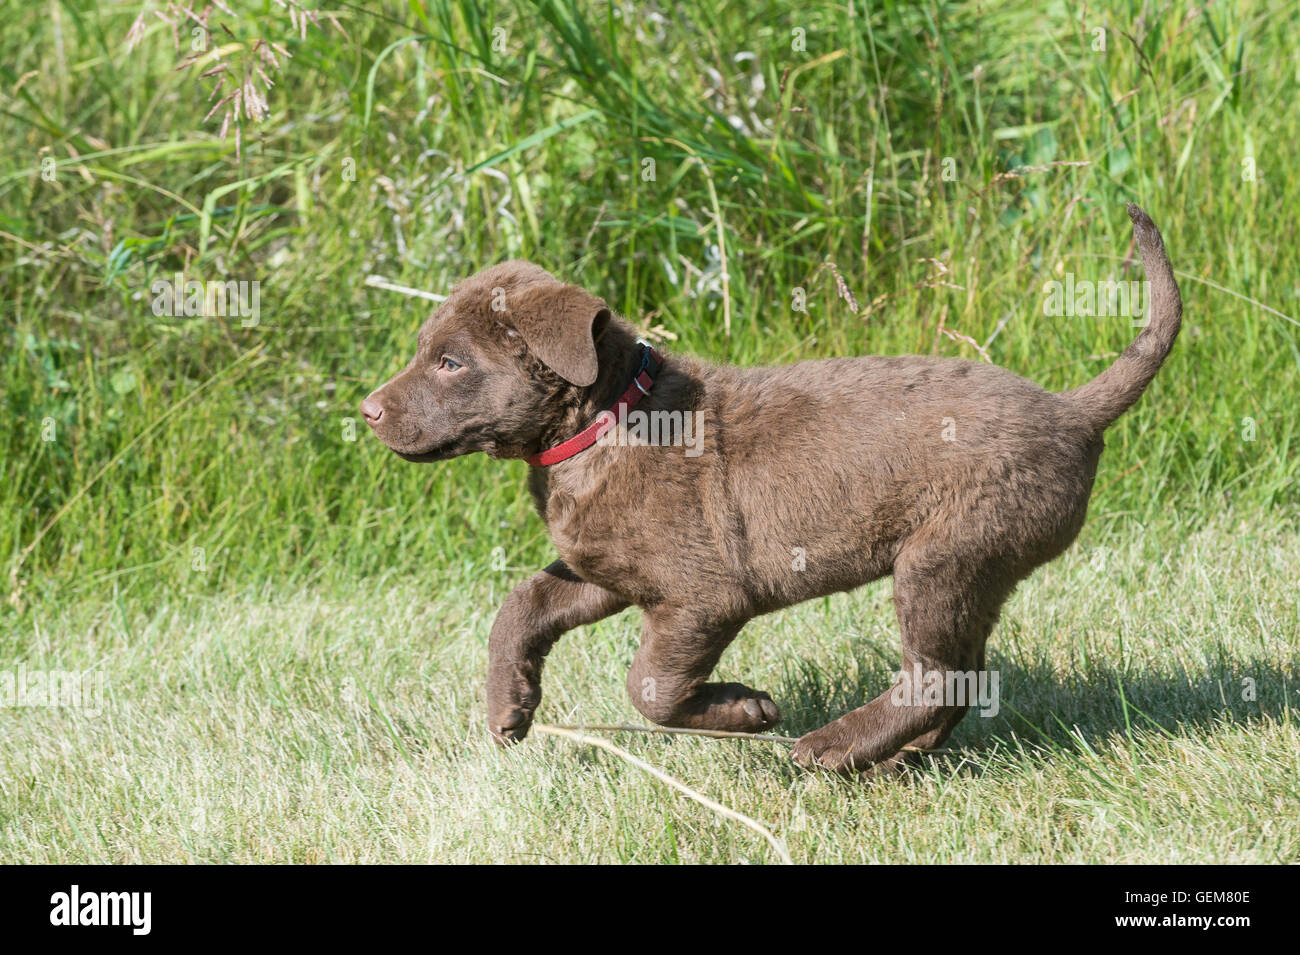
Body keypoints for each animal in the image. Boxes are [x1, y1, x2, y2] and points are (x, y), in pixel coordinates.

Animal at [361, 203, 1185, 779]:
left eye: (450, 362)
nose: (365, 410)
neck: (605, 421)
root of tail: (1074, 410)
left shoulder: (702, 597)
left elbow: (650, 688)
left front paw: (747, 710)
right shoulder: (608, 572)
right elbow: (523, 603)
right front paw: (508, 706)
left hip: (946, 555)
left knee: (939, 676)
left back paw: (832, 746)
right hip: (974, 569)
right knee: (964, 676)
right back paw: (892, 759)